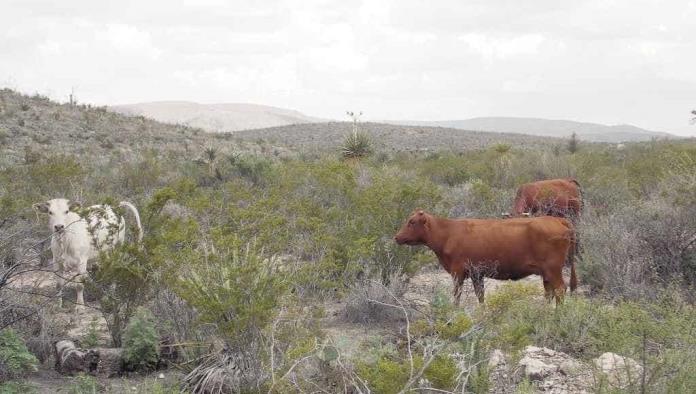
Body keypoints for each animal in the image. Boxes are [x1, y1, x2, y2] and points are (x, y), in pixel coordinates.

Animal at [394, 209, 580, 304]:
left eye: (411, 222)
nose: (396, 237)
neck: (448, 233)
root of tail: (557, 220)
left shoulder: (457, 271)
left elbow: (457, 295)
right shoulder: (477, 274)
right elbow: (480, 295)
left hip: (553, 269)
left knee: (560, 289)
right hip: (546, 272)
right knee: (549, 292)